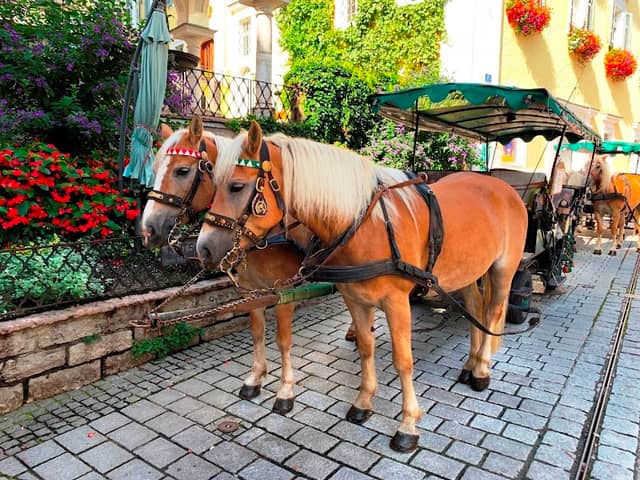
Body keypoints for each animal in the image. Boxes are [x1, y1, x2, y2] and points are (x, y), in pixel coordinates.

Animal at [140, 116, 321, 414]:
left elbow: (283, 340)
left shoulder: (285, 291)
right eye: (154, 169)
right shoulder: (250, 289)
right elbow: (257, 332)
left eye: (182, 171)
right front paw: (255, 378)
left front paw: (285, 391)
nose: (148, 229)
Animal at [196, 121, 528, 452]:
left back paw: (482, 369)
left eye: (236, 186)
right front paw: (364, 402)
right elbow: (366, 349)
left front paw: (408, 424)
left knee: (493, 313)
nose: (204, 249)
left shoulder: (397, 303)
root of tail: (502, 188)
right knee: (474, 310)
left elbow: (403, 361)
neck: (367, 225)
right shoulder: (355, 299)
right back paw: (470, 364)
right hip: (468, 272)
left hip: (503, 270)